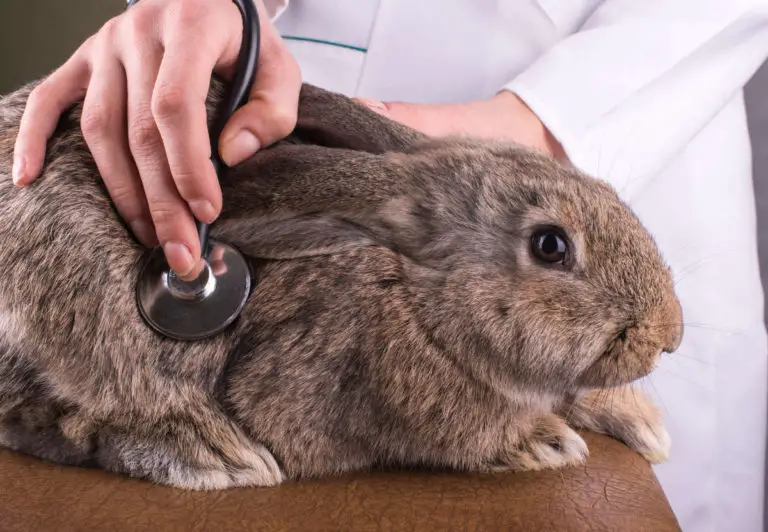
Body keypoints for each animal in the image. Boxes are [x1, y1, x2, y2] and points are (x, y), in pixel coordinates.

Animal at [0, 76, 684, 490]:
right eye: (551, 246)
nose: (669, 335)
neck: (417, 300)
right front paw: (543, 442)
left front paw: (642, 422)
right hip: (80, 309)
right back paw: (215, 454)